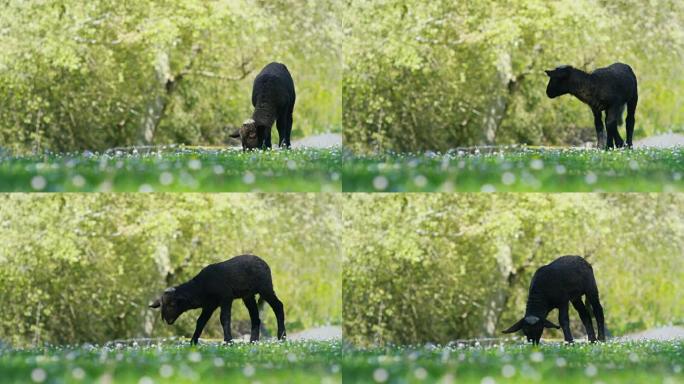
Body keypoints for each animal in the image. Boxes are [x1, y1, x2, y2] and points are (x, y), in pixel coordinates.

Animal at [150, 255, 286, 344]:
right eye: (161, 305)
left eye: (172, 304)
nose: (167, 320)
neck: (200, 288)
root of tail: (264, 263)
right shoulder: (209, 305)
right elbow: (200, 322)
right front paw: (193, 342)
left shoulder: (226, 297)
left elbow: (224, 318)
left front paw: (228, 341)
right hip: (248, 296)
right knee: (255, 318)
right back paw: (253, 341)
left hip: (265, 287)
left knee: (278, 306)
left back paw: (282, 337)